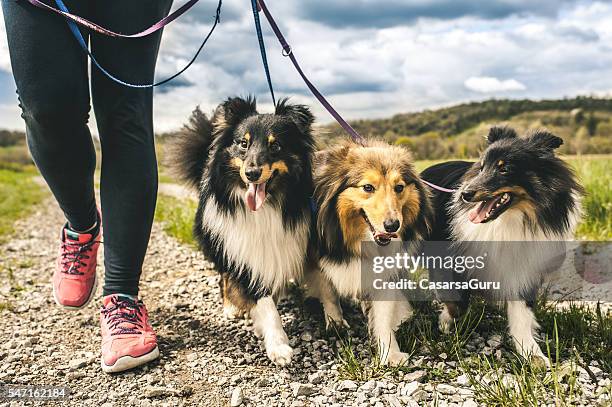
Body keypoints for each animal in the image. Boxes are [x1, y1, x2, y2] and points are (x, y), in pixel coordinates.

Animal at [167, 97, 320, 368]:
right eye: (243, 143)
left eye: (276, 145)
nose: (251, 173)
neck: (266, 206)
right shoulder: (240, 250)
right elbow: (263, 301)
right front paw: (278, 345)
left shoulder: (278, 249)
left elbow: (271, 293)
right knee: (224, 276)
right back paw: (231, 307)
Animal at [310, 141, 436, 366]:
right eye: (367, 187)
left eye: (399, 187)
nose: (393, 226)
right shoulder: (318, 258)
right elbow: (328, 292)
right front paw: (335, 322)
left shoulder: (384, 273)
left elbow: (384, 317)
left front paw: (391, 353)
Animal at [420, 127, 584, 364]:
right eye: (481, 167)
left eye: (504, 169)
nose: (465, 194)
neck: (511, 219)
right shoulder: (446, 260)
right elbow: (457, 303)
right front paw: (445, 323)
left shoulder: (524, 268)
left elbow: (522, 313)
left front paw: (532, 354)